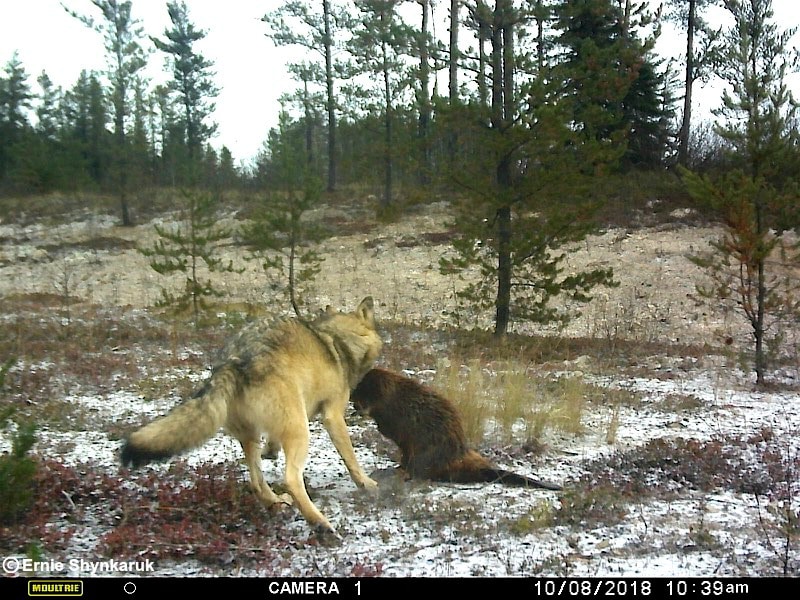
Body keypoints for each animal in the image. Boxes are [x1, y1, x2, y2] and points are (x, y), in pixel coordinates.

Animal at [122, 296, 384, 536]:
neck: (339, 341)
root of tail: (233, 360)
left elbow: (272, 444)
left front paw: (271, 452)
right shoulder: (333, 416)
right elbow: (351, 458)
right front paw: (366, 483)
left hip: (252, 436)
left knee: (256, 481)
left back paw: (277, 502)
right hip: (300, 432)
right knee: (290, 479)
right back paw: (320, 523)